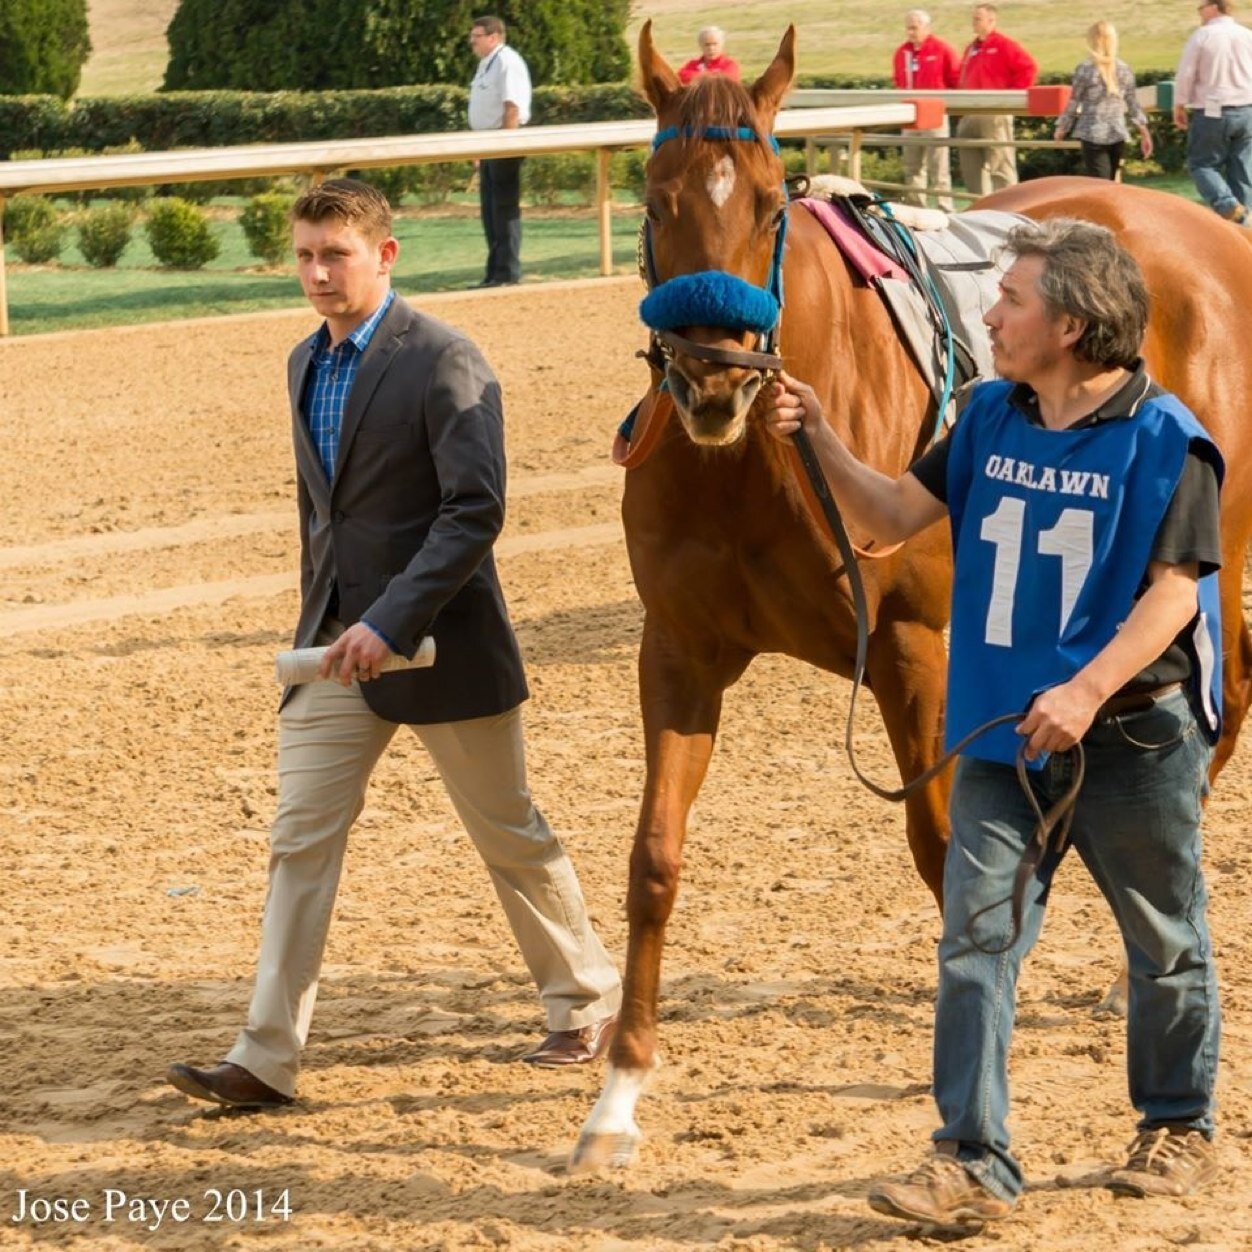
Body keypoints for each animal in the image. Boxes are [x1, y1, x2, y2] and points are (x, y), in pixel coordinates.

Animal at [573, 22, 1252, 1171]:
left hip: (1216, 550)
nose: (714, 381)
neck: (753, 464)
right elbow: (654, 861)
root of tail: (1212, 237)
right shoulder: (677, 651)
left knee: (1213, 707)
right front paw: (617, 1093)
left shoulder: (910, 648)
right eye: (658, 201)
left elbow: (941, 852)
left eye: (770, 204)